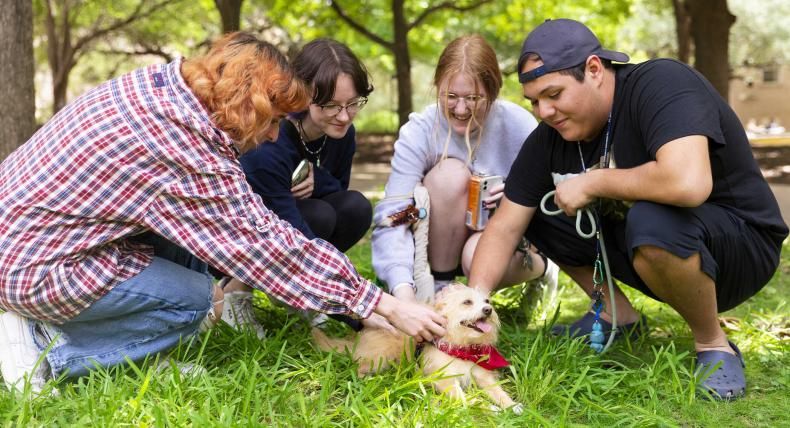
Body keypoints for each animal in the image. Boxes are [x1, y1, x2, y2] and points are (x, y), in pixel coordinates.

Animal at [314, 282, 524, 412]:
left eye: (487, 302)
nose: (488, 310)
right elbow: (470, 399)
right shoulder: (445, 382)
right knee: (359, 367)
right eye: (467, 302)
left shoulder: (482, 376)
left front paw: (512, 405)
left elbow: (499, 392)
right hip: (381, 356)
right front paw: (488, 408)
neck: (461, 348)